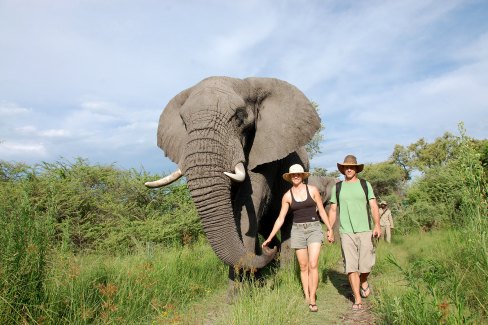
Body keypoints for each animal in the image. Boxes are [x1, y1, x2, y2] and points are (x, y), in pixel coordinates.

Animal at [145, 76, 320, 296]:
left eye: (239, 116)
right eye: (184, 122)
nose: (268, 251)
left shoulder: (265, 151)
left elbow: (246, 208)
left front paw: (238, 296)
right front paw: (249, 287)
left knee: (287, 222)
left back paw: (284, 275)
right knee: (266, 224)